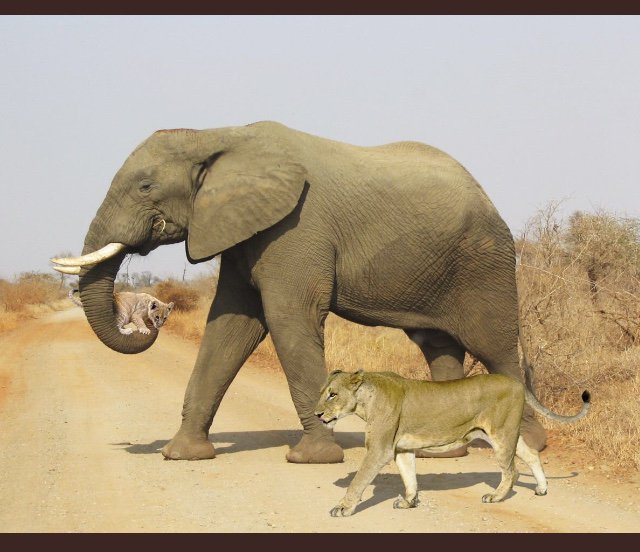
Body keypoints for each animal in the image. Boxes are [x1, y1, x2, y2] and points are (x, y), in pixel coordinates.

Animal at [52, 121, 547, 463]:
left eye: (146, 186)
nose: (151, 319)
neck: (218, 134)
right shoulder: (242, 232)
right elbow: (230, 327)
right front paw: (182, 455)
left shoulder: (296, 229)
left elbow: (288, 319)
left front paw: (313, 459)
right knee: (438, 345)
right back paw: (440, 452)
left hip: (485, 261)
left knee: (496, 346)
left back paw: (527, 445)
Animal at [314, 370, 590, 517]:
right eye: (322, 393)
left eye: (332, 394)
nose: (317, 414)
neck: (364, 402)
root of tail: (516, 381)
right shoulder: (402, 448)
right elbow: (409, 477)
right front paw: (409, 502)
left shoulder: (379, 450)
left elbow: (358, 480)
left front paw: (343, 508)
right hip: (507, 433)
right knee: (531, 453)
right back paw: (541, 489)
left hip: (501, 436)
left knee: (512, 471)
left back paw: (495, 497)